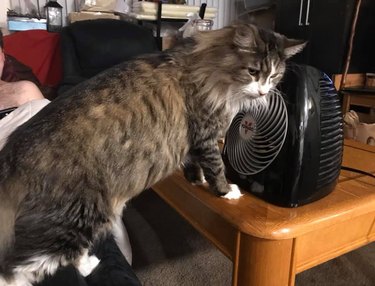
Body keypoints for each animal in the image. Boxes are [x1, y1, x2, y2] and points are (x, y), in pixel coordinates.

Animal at [0, 23, 306, 284]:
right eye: (253, 71)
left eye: (274, 76)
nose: (264, 92)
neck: (210, 66)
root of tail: (12, 153)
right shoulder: (206, 133)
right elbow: (216, 166)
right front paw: (225, 190)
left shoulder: (190, 139)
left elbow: (194, 163)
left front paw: (196, 180)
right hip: (82, 212)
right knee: (23, 266)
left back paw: (90, 264)